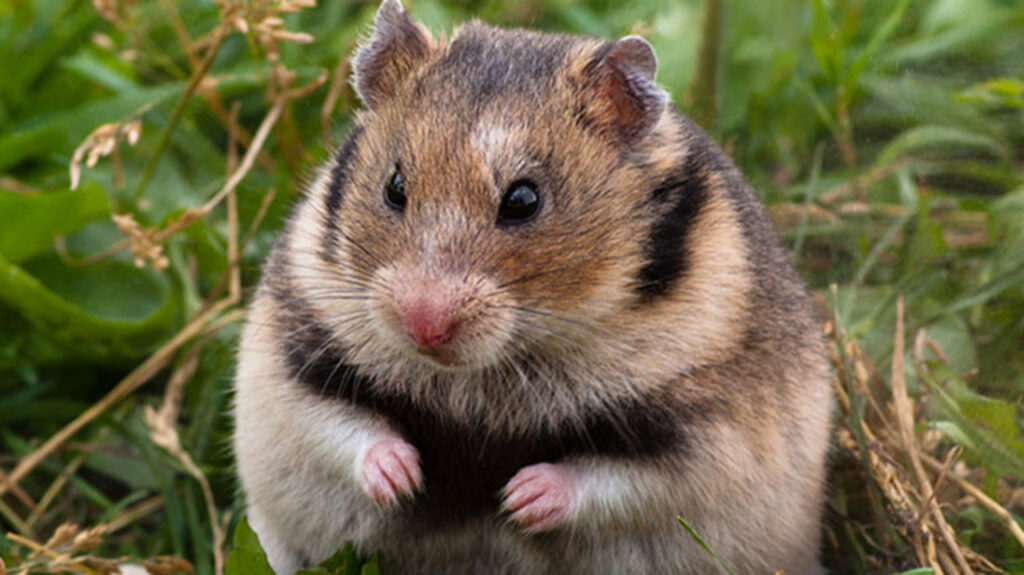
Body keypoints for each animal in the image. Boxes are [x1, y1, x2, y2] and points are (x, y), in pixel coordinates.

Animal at [233, 1, 833, 573]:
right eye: (395, 186)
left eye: (524, 200)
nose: (423, 328)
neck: (494, 369)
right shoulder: (297, 363)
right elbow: (350, 429)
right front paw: (406, 479)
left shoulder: (701, 437)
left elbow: (613, 479)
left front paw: (515, 499)